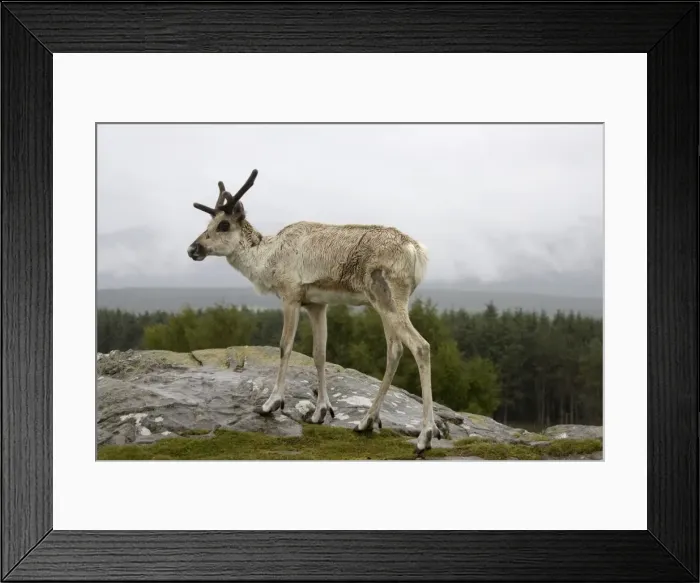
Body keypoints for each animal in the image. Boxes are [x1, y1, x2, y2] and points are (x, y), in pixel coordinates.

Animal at [187, 169, 441, 455]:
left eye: (223, 225)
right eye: (208, 224)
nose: (193, 249)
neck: (267, 258)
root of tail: (416, 251)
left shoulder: (290, 295)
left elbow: (285, 346)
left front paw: (271, 403)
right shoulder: (317, 304)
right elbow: (320, 354)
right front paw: (321, 411)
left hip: (388, 297)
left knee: (420, 346)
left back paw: (425, 436)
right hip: (387, 303)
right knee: (395, 350)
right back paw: (366, 421)